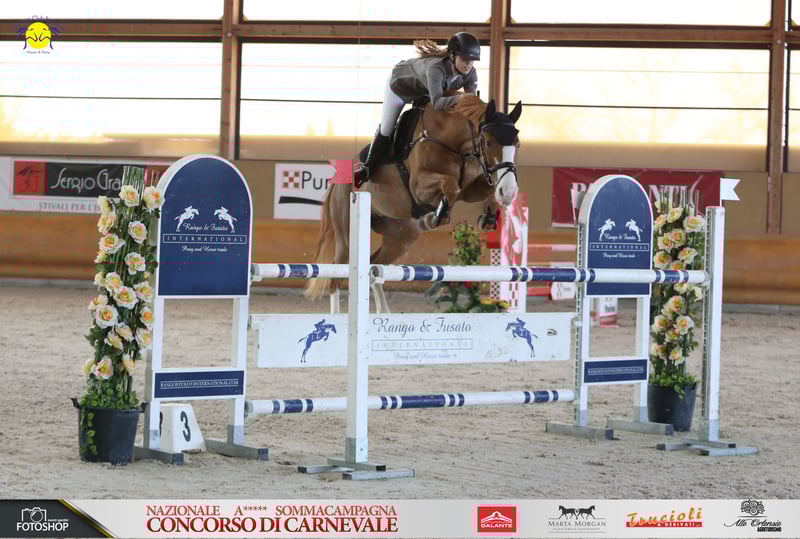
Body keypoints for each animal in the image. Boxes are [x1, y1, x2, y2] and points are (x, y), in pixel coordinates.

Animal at [305, 95, 522, 301]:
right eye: (488, 142)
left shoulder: (470, 189)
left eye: (517, 144)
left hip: (400, 237)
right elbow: (451, 186)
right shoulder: (419, 188)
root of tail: (339, 178)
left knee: (374, 267)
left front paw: (489, 217)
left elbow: (485, 190)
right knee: (336, 275)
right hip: (346, 236)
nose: (509, 191)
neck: (454, 144)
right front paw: (436, 217)